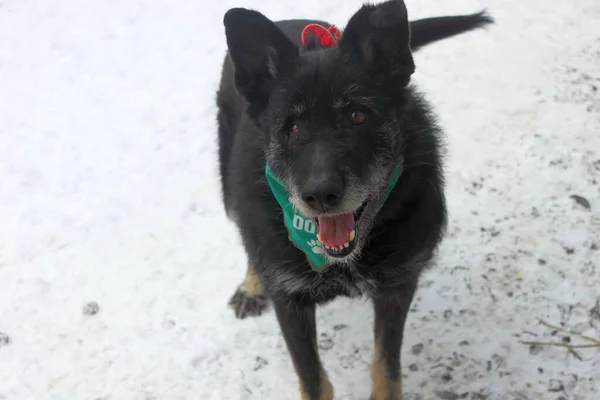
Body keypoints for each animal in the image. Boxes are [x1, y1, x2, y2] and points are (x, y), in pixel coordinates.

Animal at [216, 1, 492, 398]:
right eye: (292, 127)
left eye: (357, 115)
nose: (320, 195)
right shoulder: (289, 301)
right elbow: (313, 379)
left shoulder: (397, 287)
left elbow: (386, 368)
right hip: (227, 180)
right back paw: (252, 285)